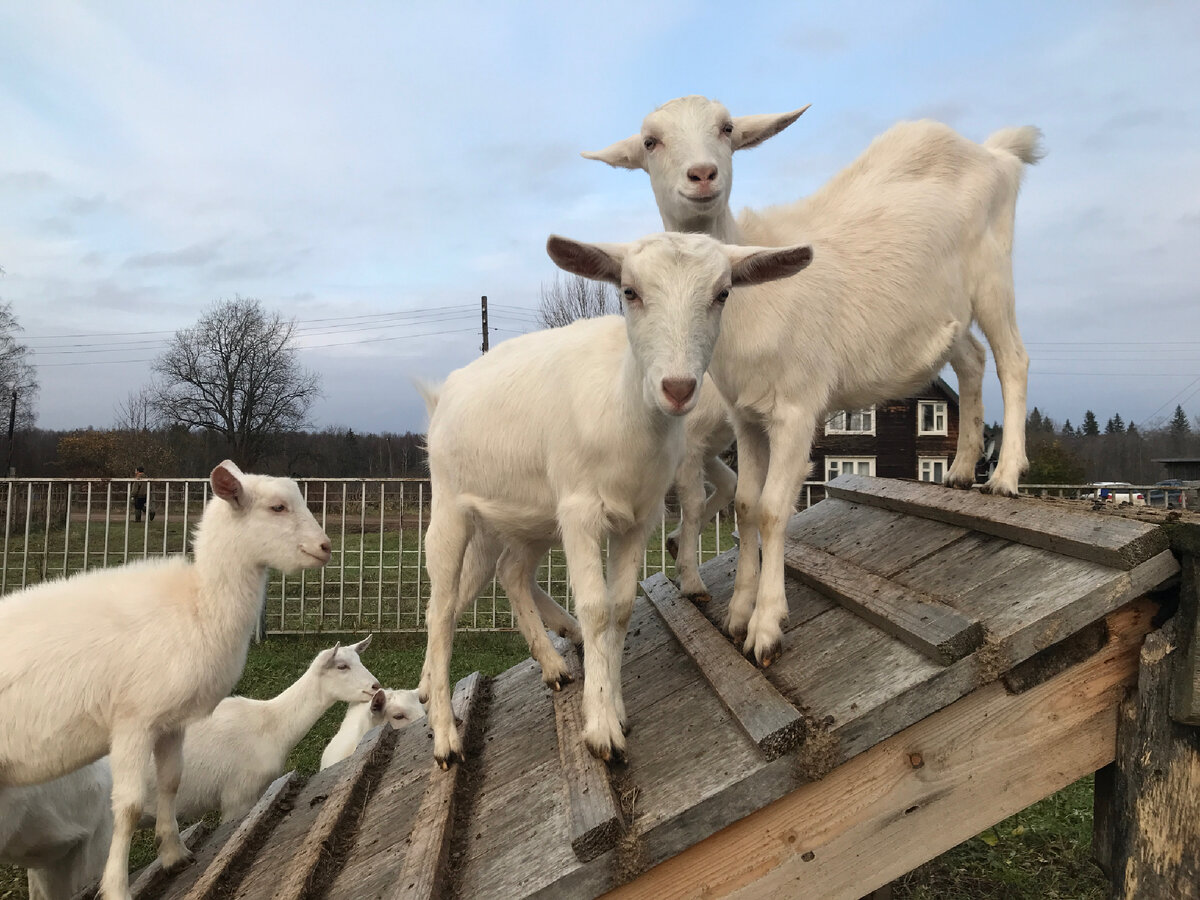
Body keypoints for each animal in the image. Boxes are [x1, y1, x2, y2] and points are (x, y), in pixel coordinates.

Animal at [417, 230, 811, 768]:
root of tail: (443, 395)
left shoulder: (638, 516)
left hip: (520, 518)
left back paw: (552, 664)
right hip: (452, 507)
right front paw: (601, 730)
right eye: (630, 291)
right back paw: (444, 737)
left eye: (723, 293)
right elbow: (597, 607)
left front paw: (614, 705)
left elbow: (621, 607)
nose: (678, 387)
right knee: (440, 609)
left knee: (507, 574)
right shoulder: (581, 510)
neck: (624, 408)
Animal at [588, 95, 1041, 667]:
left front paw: (765, 626)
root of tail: (993, 153)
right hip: (946, 311)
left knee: (1012, 358)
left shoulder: (796, 409)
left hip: (992, 272)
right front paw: (738, 612)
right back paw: (960, 470)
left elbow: (773, 509)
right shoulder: (747, 416)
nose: (703, 174)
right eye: (650, 141)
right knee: (973, 361)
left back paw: (1004, 476)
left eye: (727, 128)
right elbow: (744, 505)